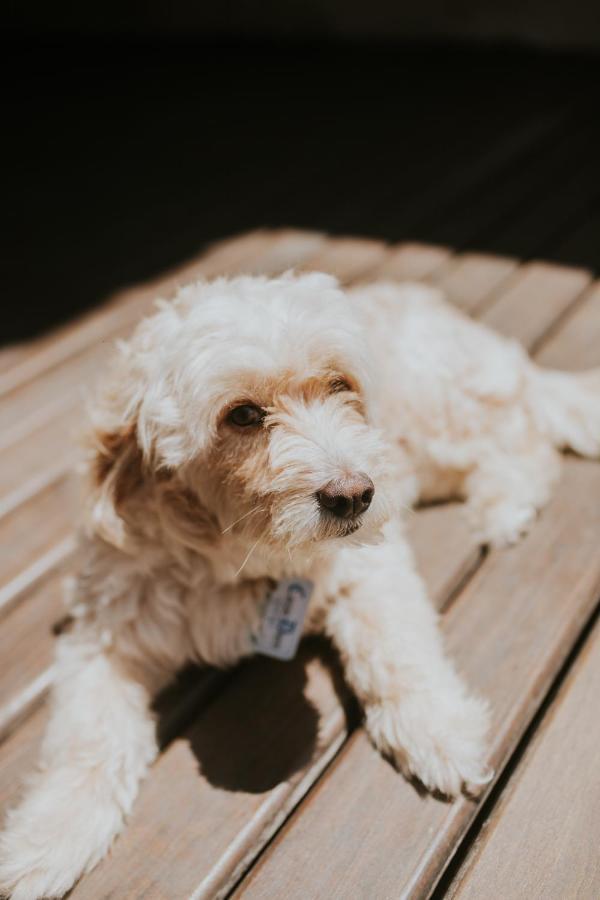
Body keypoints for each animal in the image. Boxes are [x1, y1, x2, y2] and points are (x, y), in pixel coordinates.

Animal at [1, 270, 600, 896]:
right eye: (242, 415)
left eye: (340, 384)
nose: (354, 495)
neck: (243, 561)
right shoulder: (106, 633)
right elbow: (87, 741)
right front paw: (49, 837)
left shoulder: (371, 566)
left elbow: (399, 651)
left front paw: (439, 729)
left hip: (443, 420)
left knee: (525, 434)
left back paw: (503, 507)